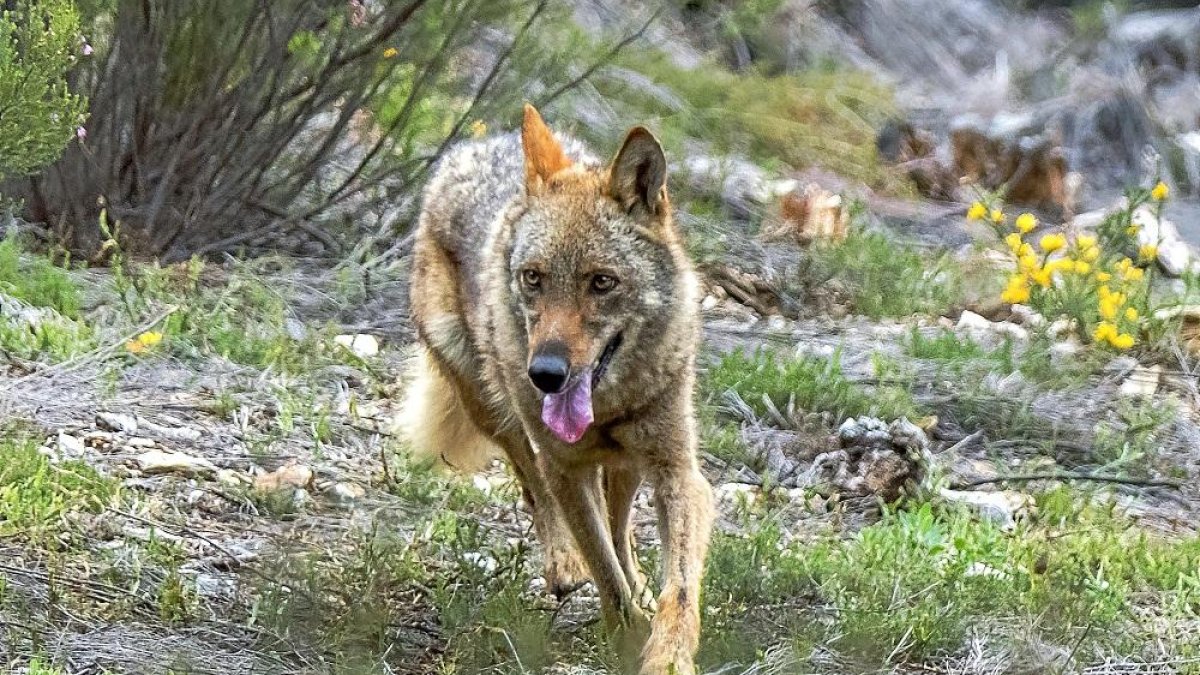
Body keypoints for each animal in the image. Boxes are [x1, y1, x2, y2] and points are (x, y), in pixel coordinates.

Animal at [398, 102, 710, 667]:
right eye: (534, 277)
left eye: (602, 282)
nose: (544, 373)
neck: (608, 406)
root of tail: (479, 145)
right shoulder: (564, 465)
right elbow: (603, 572)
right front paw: (626, 635)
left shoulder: (678, 472)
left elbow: (677, 589)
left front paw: (666, 655)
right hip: (492, 406)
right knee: (534, 484)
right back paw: (565, 564)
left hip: (628, 464)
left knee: (619, 526)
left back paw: (637, 582)